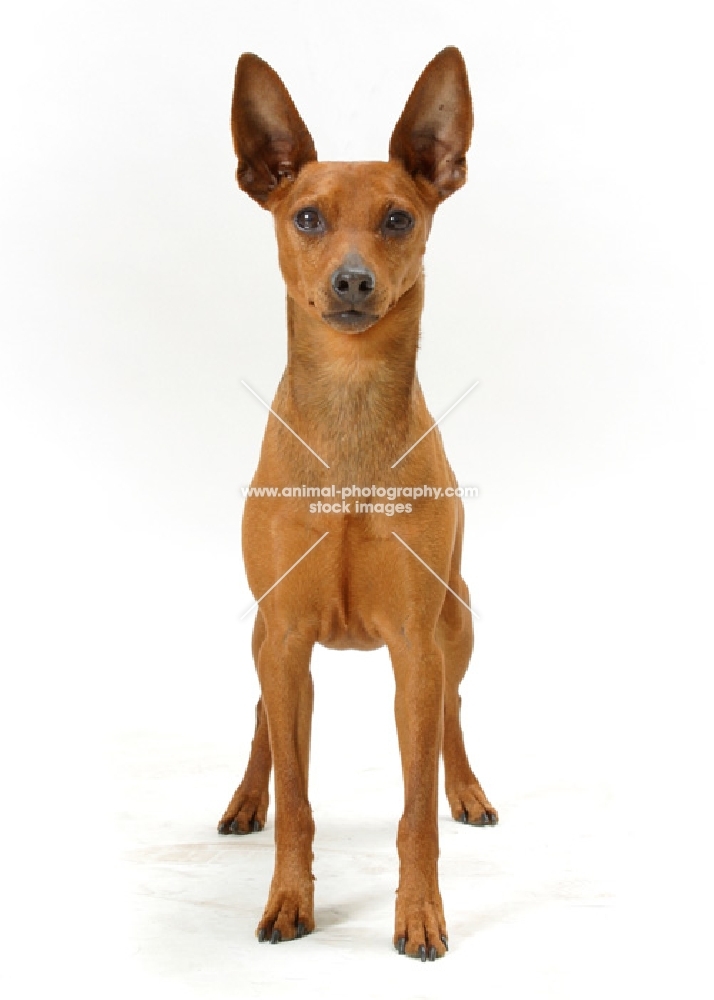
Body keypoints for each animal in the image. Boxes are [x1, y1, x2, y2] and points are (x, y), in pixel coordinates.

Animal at [217, 45, 496, 960]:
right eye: (306, 217)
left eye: (399, 219)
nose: (352, 280)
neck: (348, 414)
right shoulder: (285, 636)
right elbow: (297, 803)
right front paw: (288, 898)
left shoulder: (414, 643)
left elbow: (417, 813)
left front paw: (419, 913)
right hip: (268, 640)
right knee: (264, 721)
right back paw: (246, 796)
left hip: (457, 624)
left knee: (451, 715)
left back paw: (467, 788)